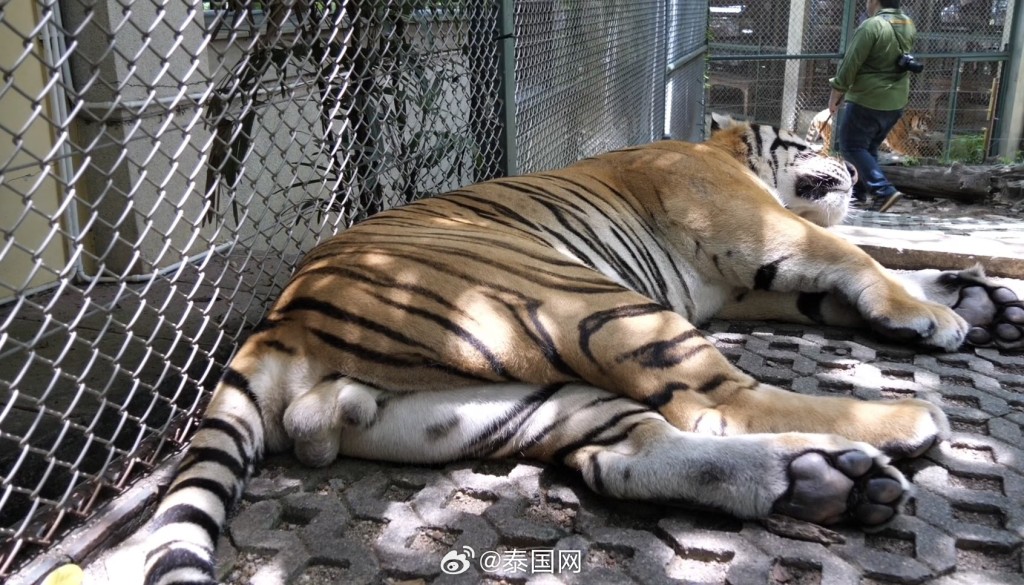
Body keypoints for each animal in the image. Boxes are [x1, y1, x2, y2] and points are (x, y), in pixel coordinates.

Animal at [135, 114, 1024, 585]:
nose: (846, 164)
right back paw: (896, 428)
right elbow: (858, 260)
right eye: (805, 144)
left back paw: (825, 480)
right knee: (717, 403)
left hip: (490, 404)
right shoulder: (763, 234)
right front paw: (938, 316)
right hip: (596, 303)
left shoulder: (745, 284)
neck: (723, 155)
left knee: (625, 454)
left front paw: (979, 298)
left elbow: (853, 282)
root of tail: (281, 316)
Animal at [805, 107, 934, 158]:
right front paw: (919, 157)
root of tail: (818, 114)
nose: (933, 131)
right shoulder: (898, 141)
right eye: (929, 121)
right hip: (830, 141)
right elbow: (911, 150)